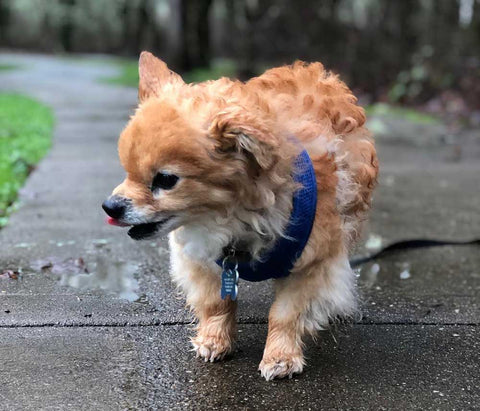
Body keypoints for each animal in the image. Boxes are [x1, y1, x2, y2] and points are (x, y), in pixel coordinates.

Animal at [102, 52, 378, 384]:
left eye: (166, 180)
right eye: (127, 172)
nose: (110, 206)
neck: (230, 220)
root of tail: (319, 74)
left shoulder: (310, 264)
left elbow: (285, 314)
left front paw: (280, 356)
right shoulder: (202, 258)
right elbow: (217, 302)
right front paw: (214, 340)